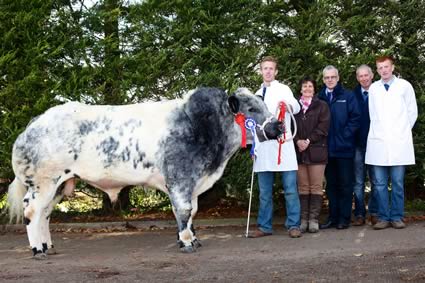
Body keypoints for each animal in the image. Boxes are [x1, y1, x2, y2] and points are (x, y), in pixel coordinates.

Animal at [7, 88, 282, 260]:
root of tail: (37, 121)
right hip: (43, 183)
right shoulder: (180, 179)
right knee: (32, 212)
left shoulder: (192, 183)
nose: (278, 125)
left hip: (59, 185)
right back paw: (37, 250)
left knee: (44, 215)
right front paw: (186, 242)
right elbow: (184, 211)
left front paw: (193, 239)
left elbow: (192, 211)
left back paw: (48, 246)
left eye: (265, 104)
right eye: (251, 108)